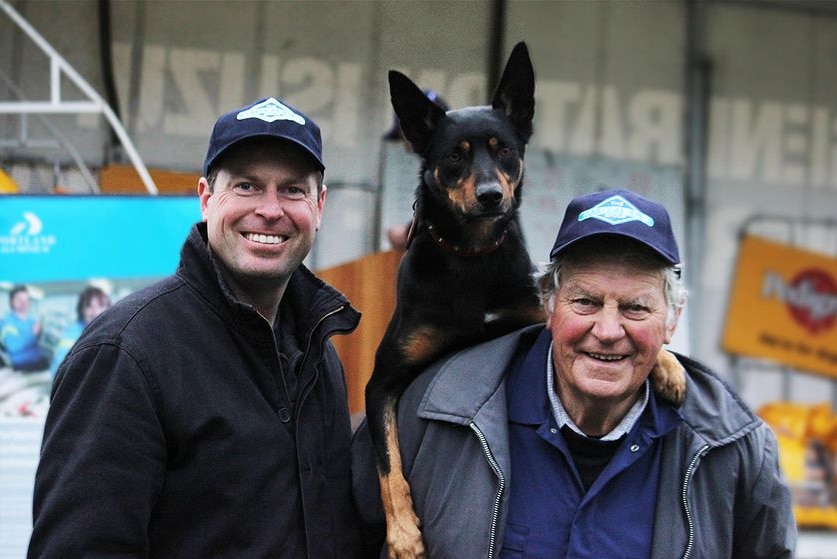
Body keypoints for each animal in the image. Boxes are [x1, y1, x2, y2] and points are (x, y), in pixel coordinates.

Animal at [366, 41, 684, 556]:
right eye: (454, 157)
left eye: (506, 152)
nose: (491, 196)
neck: (472, 257)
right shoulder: (382, 382)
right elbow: (388, 462)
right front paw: (404, 535)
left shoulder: (533, 313)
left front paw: (668, 365)